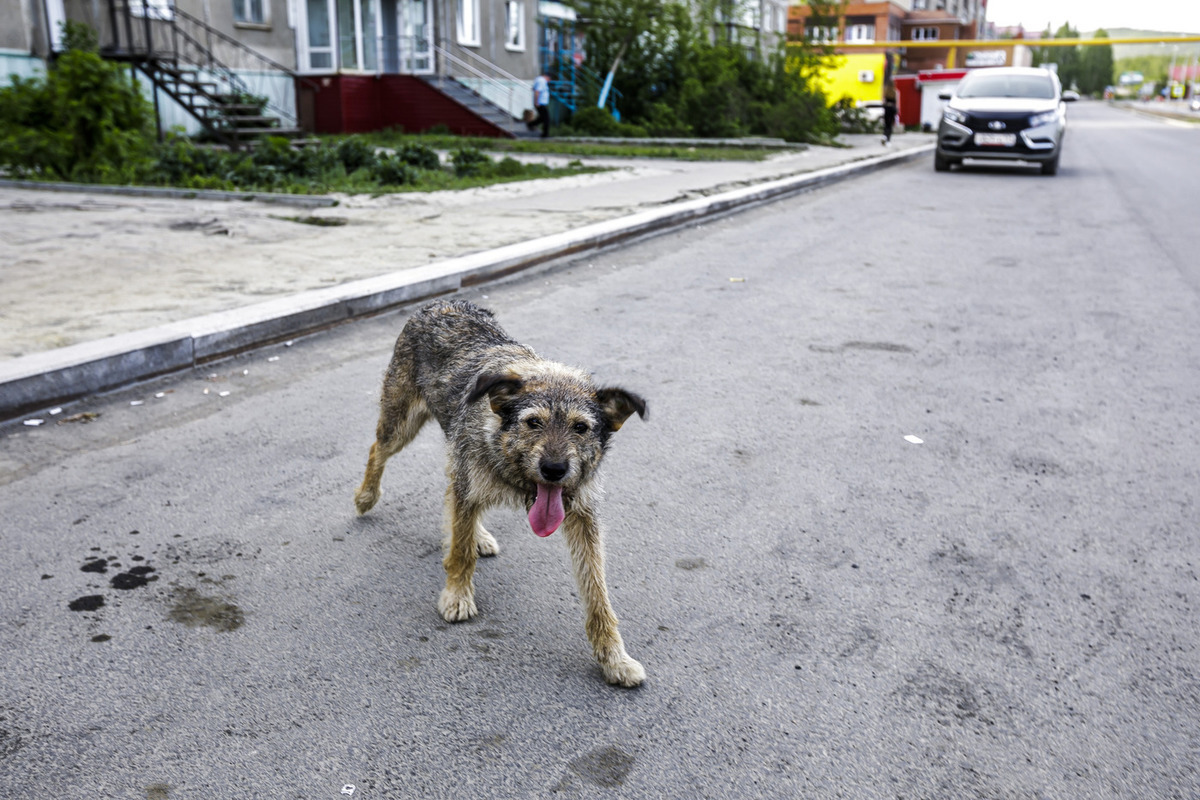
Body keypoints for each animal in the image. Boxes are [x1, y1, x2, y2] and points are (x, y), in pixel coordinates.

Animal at [352, 299, 648, 690]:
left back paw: (477, 534)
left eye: (581, 428)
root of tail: (441, 303)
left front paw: (614, 658)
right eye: (533, 422)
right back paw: (366, 496)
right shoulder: (469, 479)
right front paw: (457, 596)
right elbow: (460, 552)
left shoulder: (582, 515)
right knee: (379, 451)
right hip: (403, 423)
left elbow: (597, 591)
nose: (554, 469)